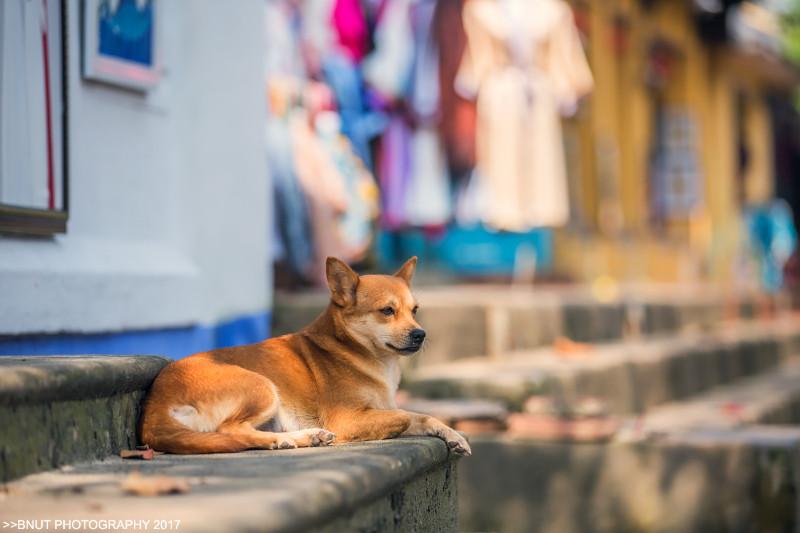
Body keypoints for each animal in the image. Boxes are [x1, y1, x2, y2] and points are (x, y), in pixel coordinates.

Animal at [141, 256, 472, 456]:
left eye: (415, 310)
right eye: (387, 311)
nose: (420, 334)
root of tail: (154, 409)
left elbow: (422, 415)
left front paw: (453, 435)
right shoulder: (346, 419)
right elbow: (402, 416)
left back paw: (303, 437)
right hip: (262, 386)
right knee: (233, 432)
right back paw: (290, 438)